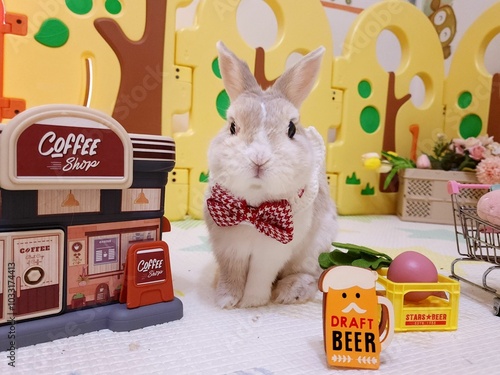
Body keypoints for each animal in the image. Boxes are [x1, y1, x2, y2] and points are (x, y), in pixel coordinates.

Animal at [201, 42, 338, 310]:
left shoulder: (272, 251)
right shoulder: (229, 246)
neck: (253, 210)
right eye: (232, 126)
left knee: (313, 275)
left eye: (292, 129)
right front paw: (226, 300)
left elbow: (259, 275)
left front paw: (252, 302)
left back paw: (290, 291)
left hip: (314, 250)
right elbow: (232, 273)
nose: (259, 158)